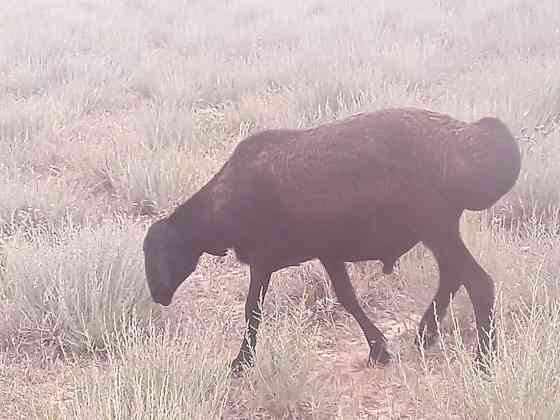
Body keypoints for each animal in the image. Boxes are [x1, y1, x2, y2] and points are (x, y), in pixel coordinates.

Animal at [143, 106, 520, 372]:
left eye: (159, 254)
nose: (158, 295)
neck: (228, 199)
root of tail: (467, 139)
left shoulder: (263, 261)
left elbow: (252, 310)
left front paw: (242, 362)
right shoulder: (328, 253)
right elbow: (348, 299)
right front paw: (378, 349)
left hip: (436, 227)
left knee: (478, 283)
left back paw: (484, 360)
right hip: (438, 232)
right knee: (452, 277)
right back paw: (426, 334)